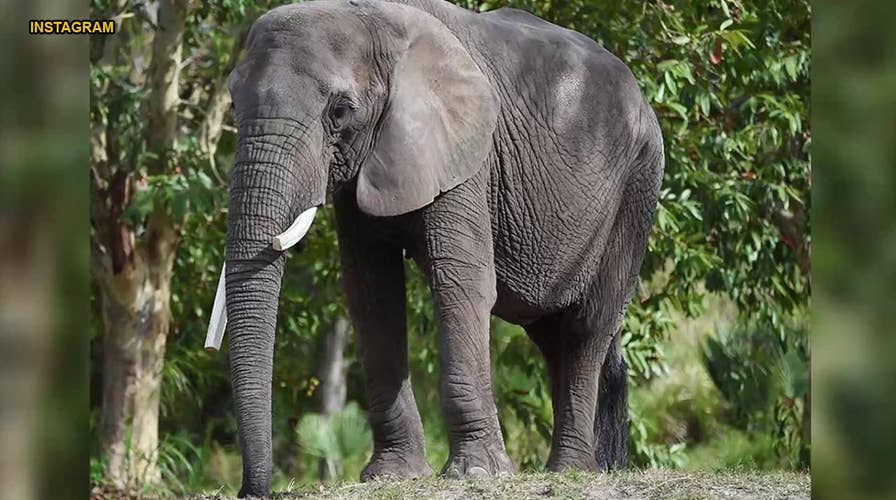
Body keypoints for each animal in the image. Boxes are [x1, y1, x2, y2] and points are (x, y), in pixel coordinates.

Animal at [210, 0, 664, 496]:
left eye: (341, 112)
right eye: (233, 102)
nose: (253, 489)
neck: (369, 17)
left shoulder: (466, 155)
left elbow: (461, 283)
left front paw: (478, 473)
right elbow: (372, 296)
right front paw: (392, 474)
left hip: (637, 187)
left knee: (586, 328)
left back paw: (570, 470)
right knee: (552, 335)